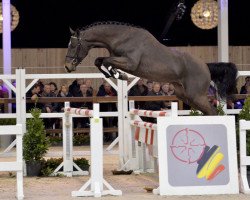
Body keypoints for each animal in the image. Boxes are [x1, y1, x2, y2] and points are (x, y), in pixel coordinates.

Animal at [63, 21, 237, 115]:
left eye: (73, 45)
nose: (67, 66)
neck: (121, 37)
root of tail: (205, 66)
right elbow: (99, 61)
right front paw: (116, 74)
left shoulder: (130, 63)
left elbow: (105, 60)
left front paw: (119, 75)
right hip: (185, 95)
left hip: (196, 95)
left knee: (213, 112)